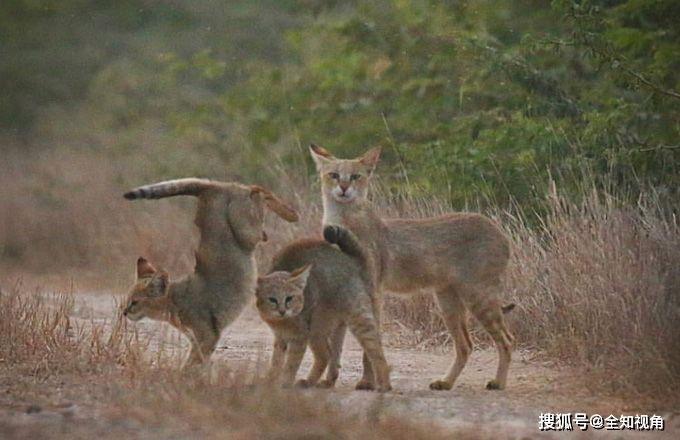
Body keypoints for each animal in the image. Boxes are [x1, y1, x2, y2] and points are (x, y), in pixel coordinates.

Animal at [122, 177, 298, 366]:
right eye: (128, 300)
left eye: (135, 302)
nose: (124, 312)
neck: (175, 300)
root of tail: (215, 187)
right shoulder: (197, 339)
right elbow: (198, 361)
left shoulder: (208, 336)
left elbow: (192, 364)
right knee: (255, 191)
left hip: (245, 230)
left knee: (258, 191)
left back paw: (290, 214)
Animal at [255, 225, 390, 390]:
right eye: (272, 300)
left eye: (289, 298)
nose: (282, 310)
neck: (283, 322)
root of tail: (355, 260)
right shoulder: (281, 337)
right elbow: (276, 360)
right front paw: (270, 379)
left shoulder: (299, 337)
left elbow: (291, 363)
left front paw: (285, 382)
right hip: (327, 327)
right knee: (331, 354)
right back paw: (317, 381)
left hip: (351, 319)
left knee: (375, 351)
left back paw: (384, 384)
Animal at [310, 146, 512, 390]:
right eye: (334, 175)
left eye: (356, 176)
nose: (344, 188)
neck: (342, 221)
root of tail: (500, 231)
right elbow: (336, 343)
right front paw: (329, 380)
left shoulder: (372, 291)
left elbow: (369, 344)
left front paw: (367, 382)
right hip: (448, 301)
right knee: (466, 345)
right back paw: (445, 382)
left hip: (477, 296)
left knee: (506, 340)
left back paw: (498, 382)